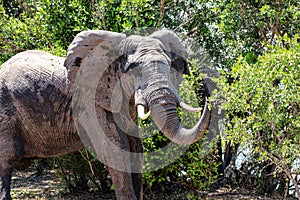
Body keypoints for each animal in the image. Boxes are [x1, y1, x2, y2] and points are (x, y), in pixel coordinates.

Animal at [0, 30, 211, 200]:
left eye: (170, 65)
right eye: (132, 69)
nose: (207, 99)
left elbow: (136, 148)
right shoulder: (89, 103)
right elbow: (115, 150)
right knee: (7, 161)